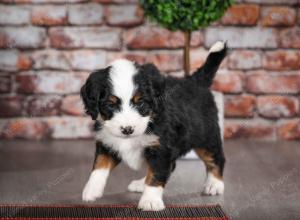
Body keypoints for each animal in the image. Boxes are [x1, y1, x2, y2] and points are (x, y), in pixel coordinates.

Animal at [81, 40, 226, 211]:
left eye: (140, 103)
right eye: (110, 105)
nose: (127, 129)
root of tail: (195, 80)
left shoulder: (161, 148)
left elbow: (156, 174)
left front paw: (150, 200)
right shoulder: (107, 142)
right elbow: (99, 166)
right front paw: (91, 190)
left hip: (206, 136)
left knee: (216, 158)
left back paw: (214, 184)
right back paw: (140, 184)